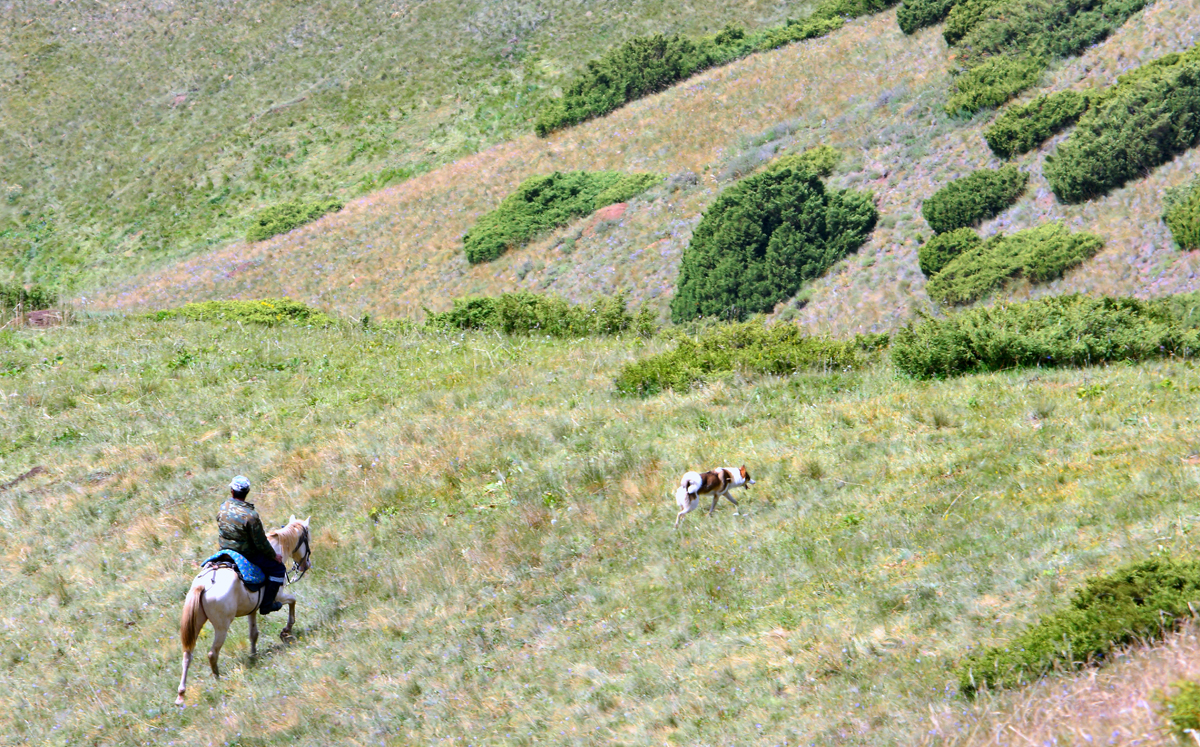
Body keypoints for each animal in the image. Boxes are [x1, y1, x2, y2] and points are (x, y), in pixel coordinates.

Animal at [176, 518, 312, 706]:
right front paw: (286, 631)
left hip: (196, 624)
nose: (306, 565)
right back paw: (218, 679)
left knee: (187, 655)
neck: (276, 549)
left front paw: (254, 655)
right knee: (212, 653)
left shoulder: (252, 610)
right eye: (308, 538)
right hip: (222, 627)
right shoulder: (278, 595)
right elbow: (293, 600)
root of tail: (202, 585)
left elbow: (253, 634)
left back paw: (181, 694)